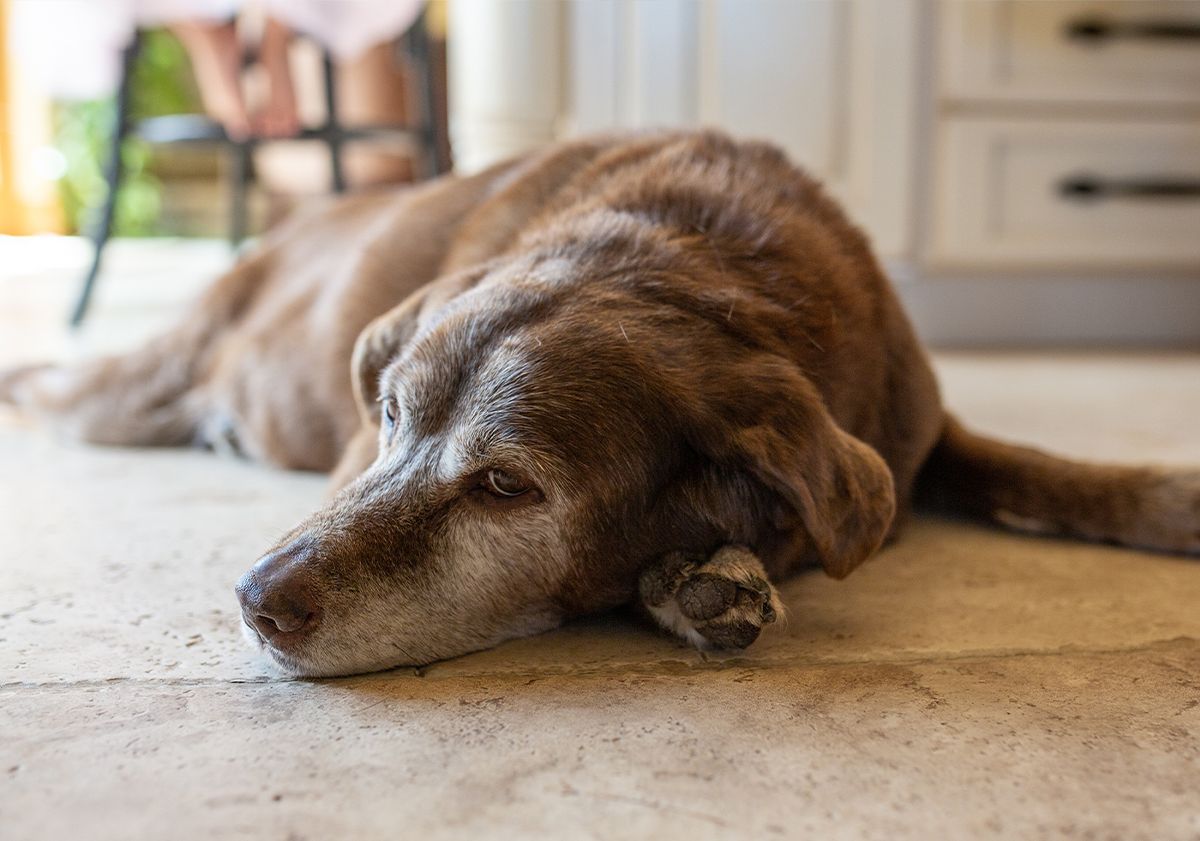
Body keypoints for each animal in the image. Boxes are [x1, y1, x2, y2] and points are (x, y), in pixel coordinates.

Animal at [2, 132, 1200, 676]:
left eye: (504, 485)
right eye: (388, 418)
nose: (255, 599)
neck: (693, 256)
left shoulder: (916, 427)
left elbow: (1039, 468)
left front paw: (1168, 498)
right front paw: (694, 582)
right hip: (146, 381)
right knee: (71, 389)